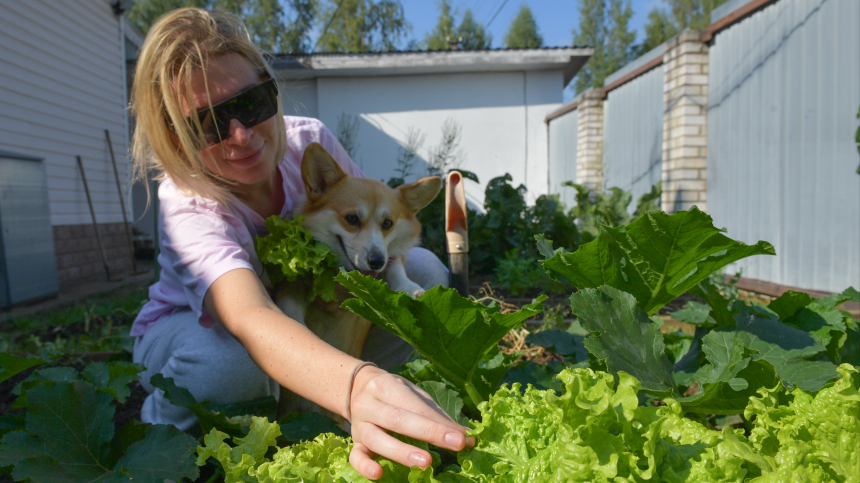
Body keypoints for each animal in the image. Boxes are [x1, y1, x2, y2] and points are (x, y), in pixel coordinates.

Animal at [272, 142, 440, 418]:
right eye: (352, 219)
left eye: (387, 223)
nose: (376, 261)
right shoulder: (292, 280)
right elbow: (291, 303)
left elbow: (395, 267)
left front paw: (407, 287)